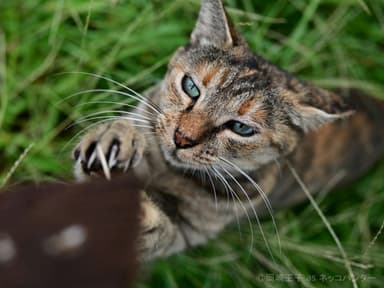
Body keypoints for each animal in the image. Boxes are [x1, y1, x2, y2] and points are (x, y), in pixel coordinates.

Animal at [72, 0, 384, 260]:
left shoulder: (187, 231)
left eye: (240, 128)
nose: (181, 138)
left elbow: (160, 231)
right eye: (191, 87)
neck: (167, 169)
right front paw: (114, 139)